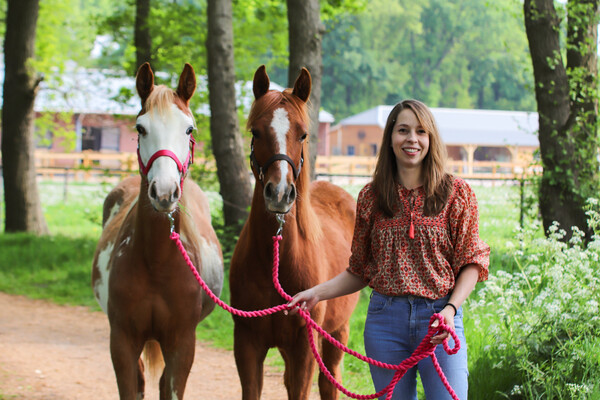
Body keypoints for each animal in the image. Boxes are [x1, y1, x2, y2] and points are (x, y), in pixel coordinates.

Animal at [91, 63, 225, 400]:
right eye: (140, 128)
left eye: (189, 129)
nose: (164, 192)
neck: (156, 261)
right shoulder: (122, 340)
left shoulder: (182, 342)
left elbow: (170, 387)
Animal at [229, 64, 358, 398]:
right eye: (255, 132)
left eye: (303, 134)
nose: (280, 193)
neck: (275, 262)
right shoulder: (246, 343)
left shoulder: (303, 347)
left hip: (337, 332)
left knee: (329, 381)